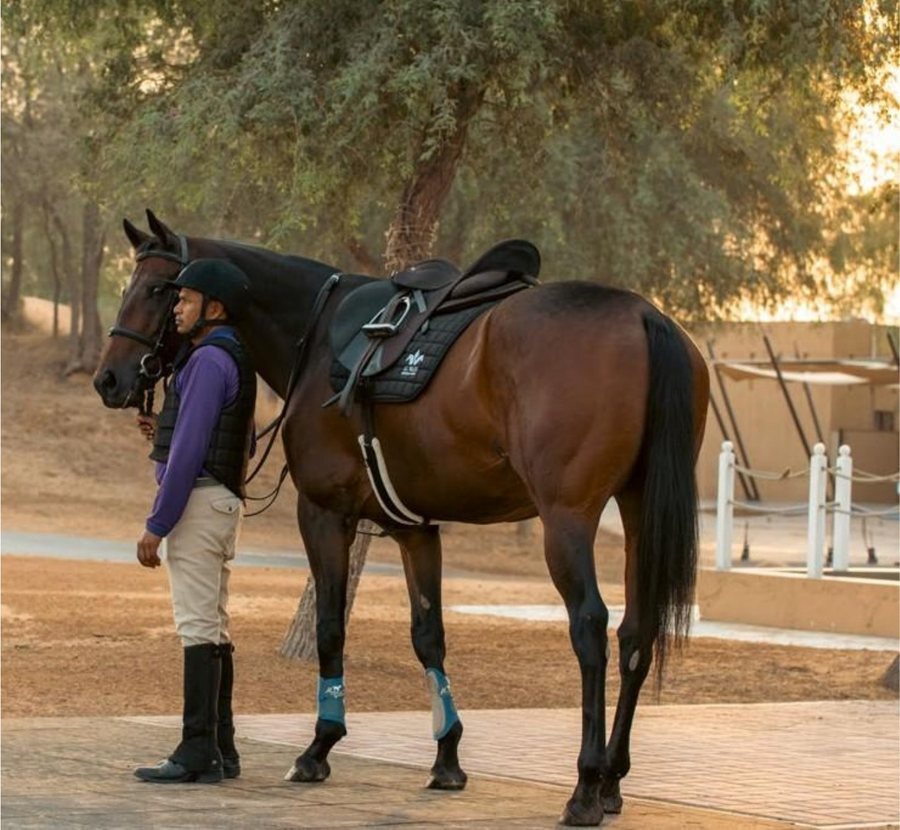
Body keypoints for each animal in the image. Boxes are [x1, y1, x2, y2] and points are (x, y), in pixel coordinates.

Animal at [94, 210, 709, 826]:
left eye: (159, 290)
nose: (109, 379)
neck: (316, 334)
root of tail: (644, 315)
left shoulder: (324, 514)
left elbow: (331, 626)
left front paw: (319, 746)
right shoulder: (415, 529)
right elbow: (428, 637)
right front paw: (447, 758)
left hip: (566, 520)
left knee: (590, 628)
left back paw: (584, 786)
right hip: (637, 513)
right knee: (636, 633)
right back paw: (612, 780)